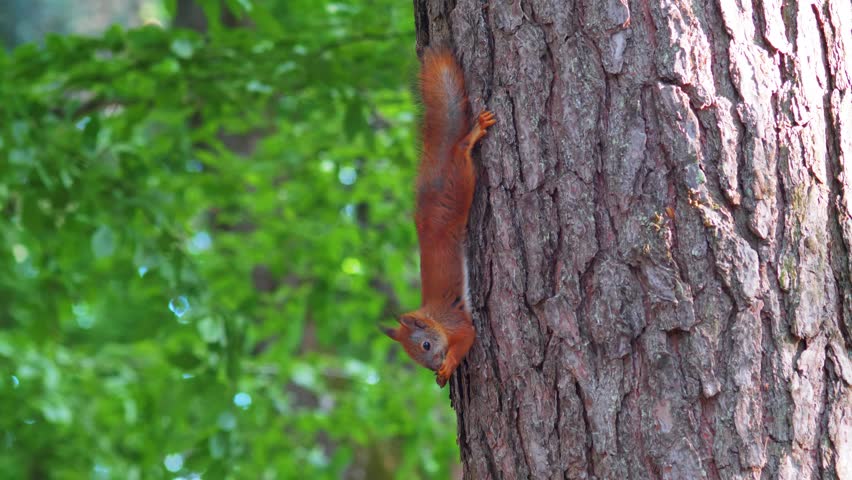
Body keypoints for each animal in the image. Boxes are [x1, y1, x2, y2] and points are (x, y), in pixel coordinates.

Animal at [382, 48, 496, 387]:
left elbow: (468, 337)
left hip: (460, 182)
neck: (434, 318)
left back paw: (473, 134)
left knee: (460, 150)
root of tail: (428, 219)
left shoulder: (458, 321)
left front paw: (448, 366)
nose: (433, 365)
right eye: (416, 357)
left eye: (426, 345)